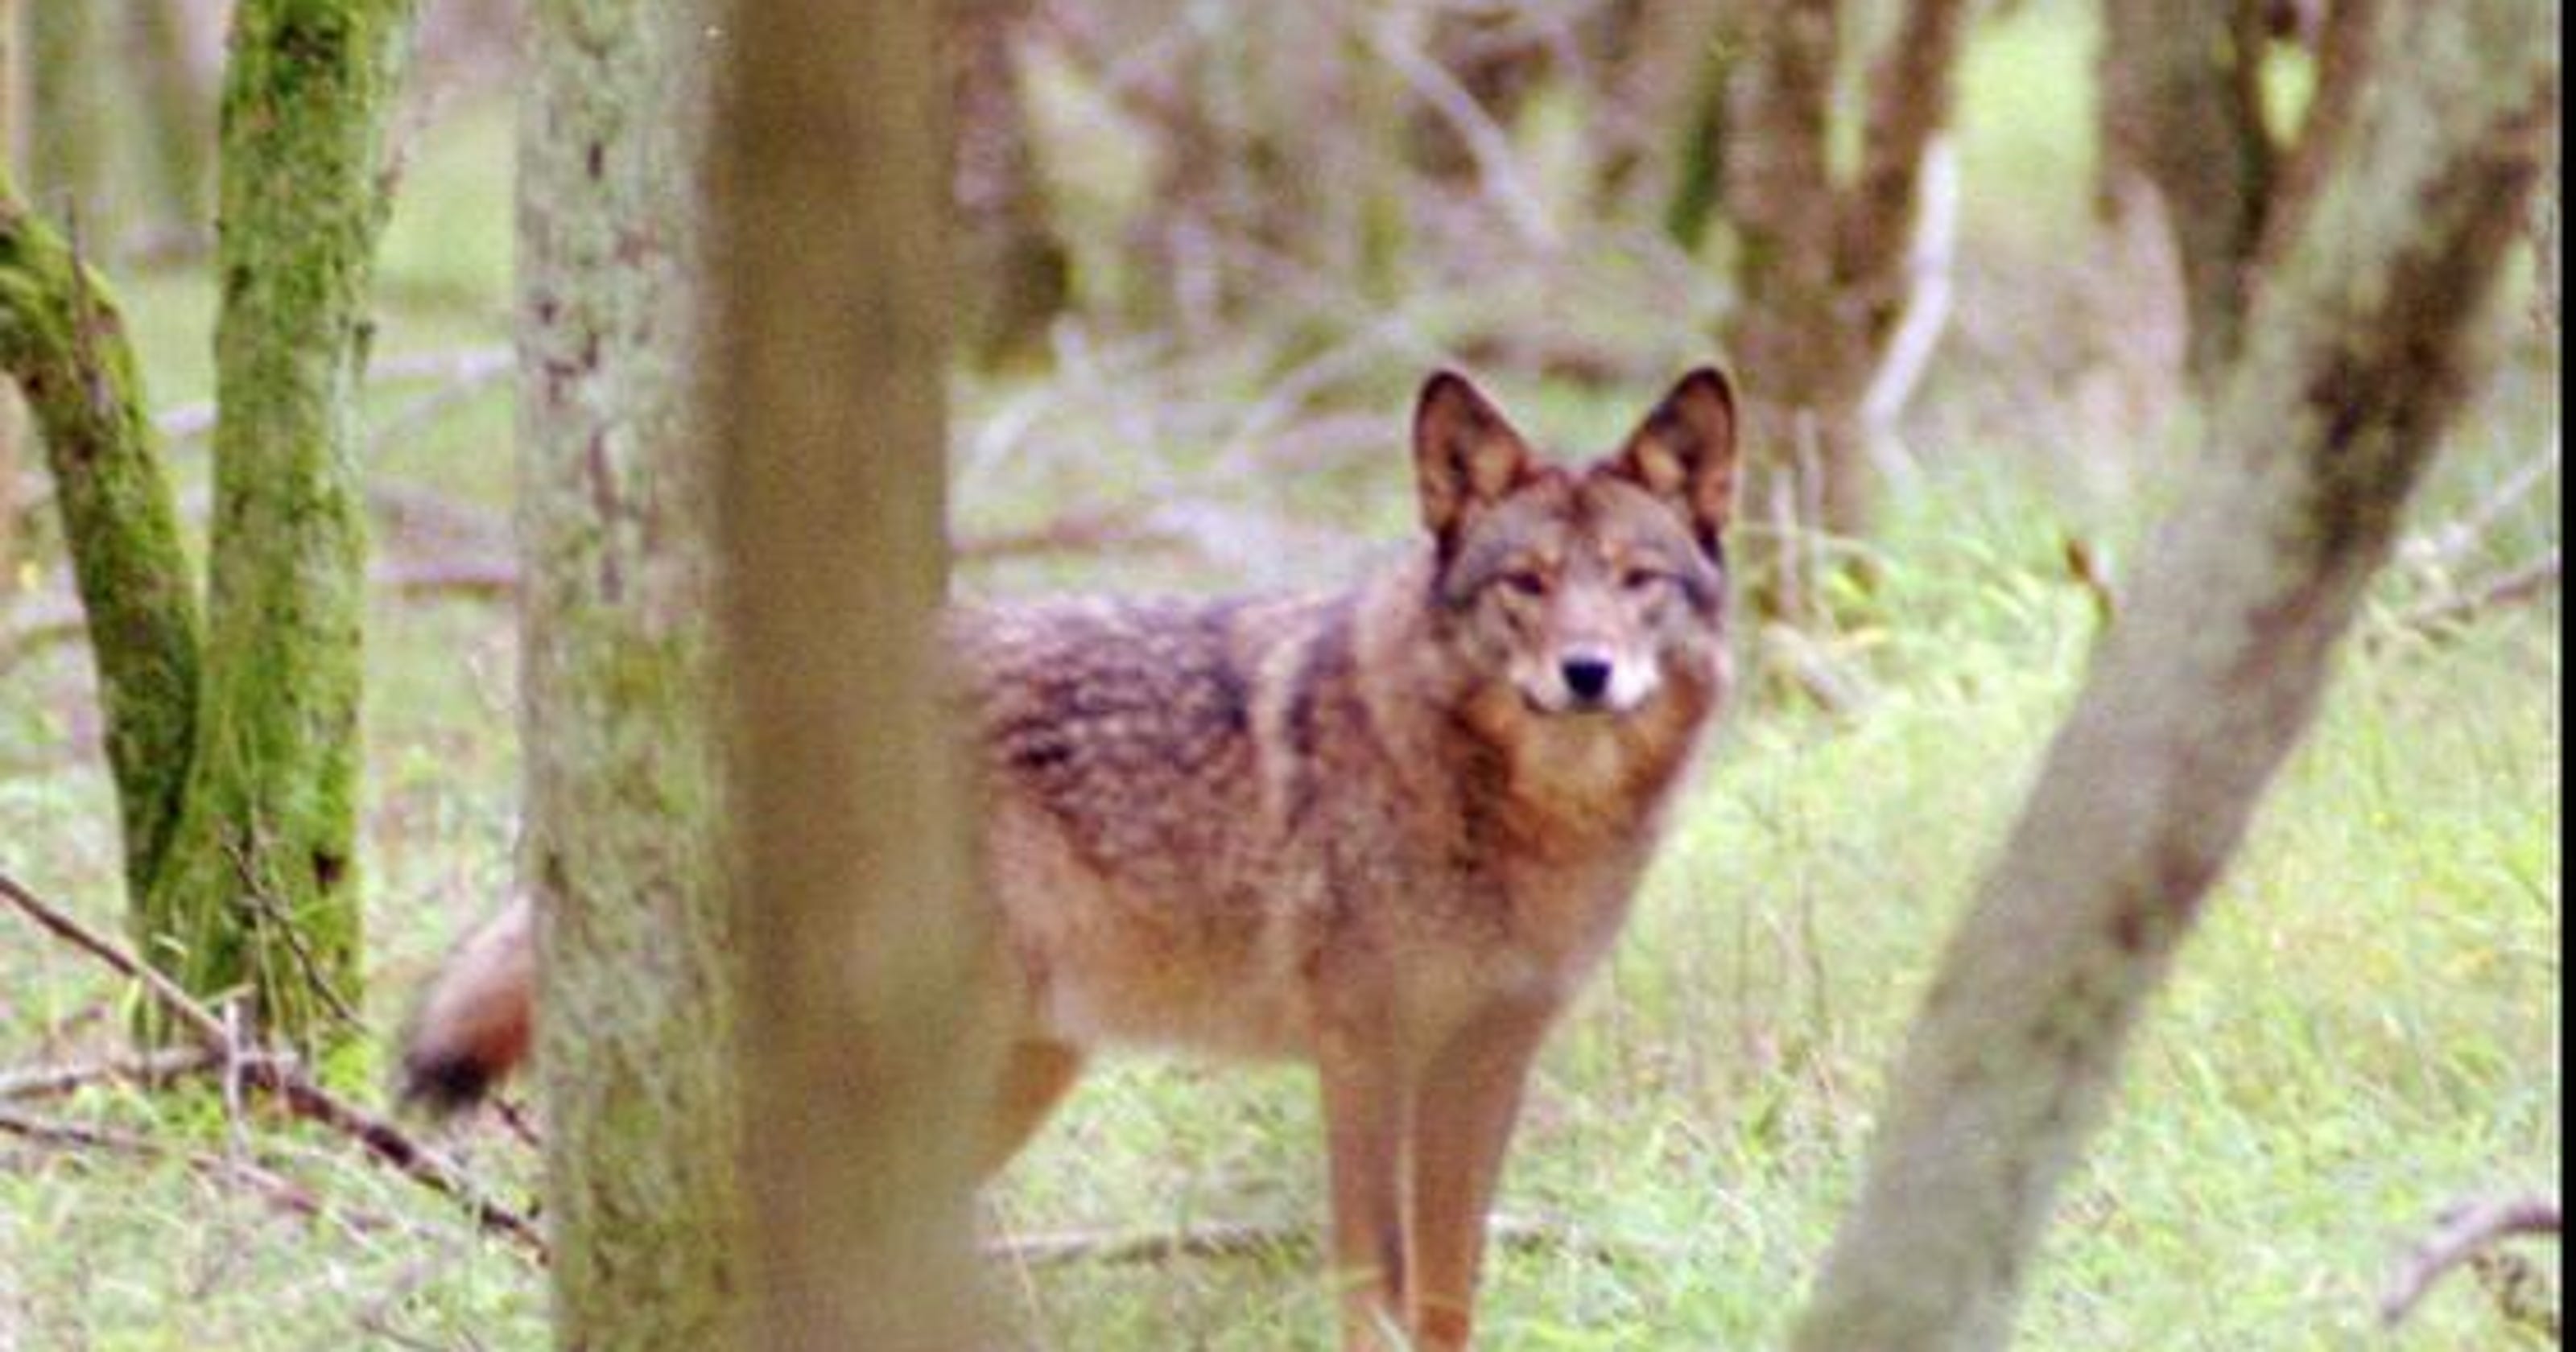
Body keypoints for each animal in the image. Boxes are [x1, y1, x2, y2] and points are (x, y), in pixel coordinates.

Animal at [400, 367, 1739, 1351]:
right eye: (1527, 584)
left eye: (1637, 582)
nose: (1588, 673)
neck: (1517, 815)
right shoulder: (1364, 1053)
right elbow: (1376, 1292)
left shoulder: (1487, 1060)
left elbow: (1453, 1294)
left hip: (1010, 1071)